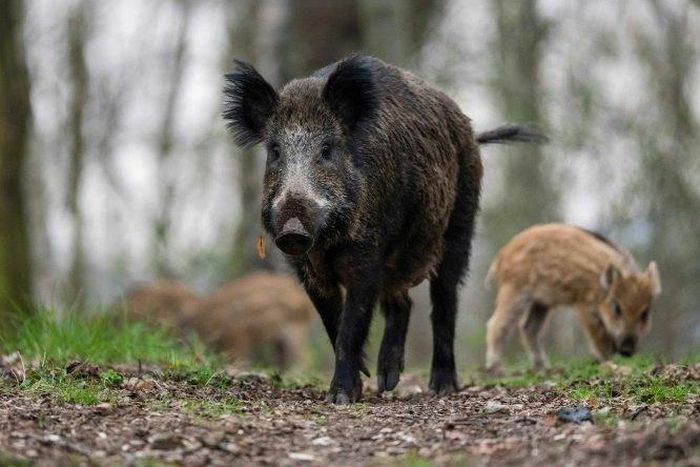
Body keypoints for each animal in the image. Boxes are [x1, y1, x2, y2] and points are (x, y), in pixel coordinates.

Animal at [223, 54, 545, 403]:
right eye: (275, 151)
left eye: (327, 149)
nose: (293, 227)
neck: (328, 243)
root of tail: (470, 131)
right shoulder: (306, 268)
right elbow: (333, 322)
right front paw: (360, 382)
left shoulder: (367, 254)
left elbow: (351, 326)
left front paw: (341, 397)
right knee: (401, 302)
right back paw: (387, 381)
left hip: (460, 226)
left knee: (444, 303)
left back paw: (441, 387)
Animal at [484, 223, 662, 374]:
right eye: (617, 308)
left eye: (645, 313)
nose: (627, 351)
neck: (600, 287)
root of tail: (501, 256)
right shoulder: (584, 304)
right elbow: (600, 339)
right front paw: (609, 363)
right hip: (514, 290)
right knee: (497, 324)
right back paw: (497, 369)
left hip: (540, 302)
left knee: (529, 328)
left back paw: (543, 368)